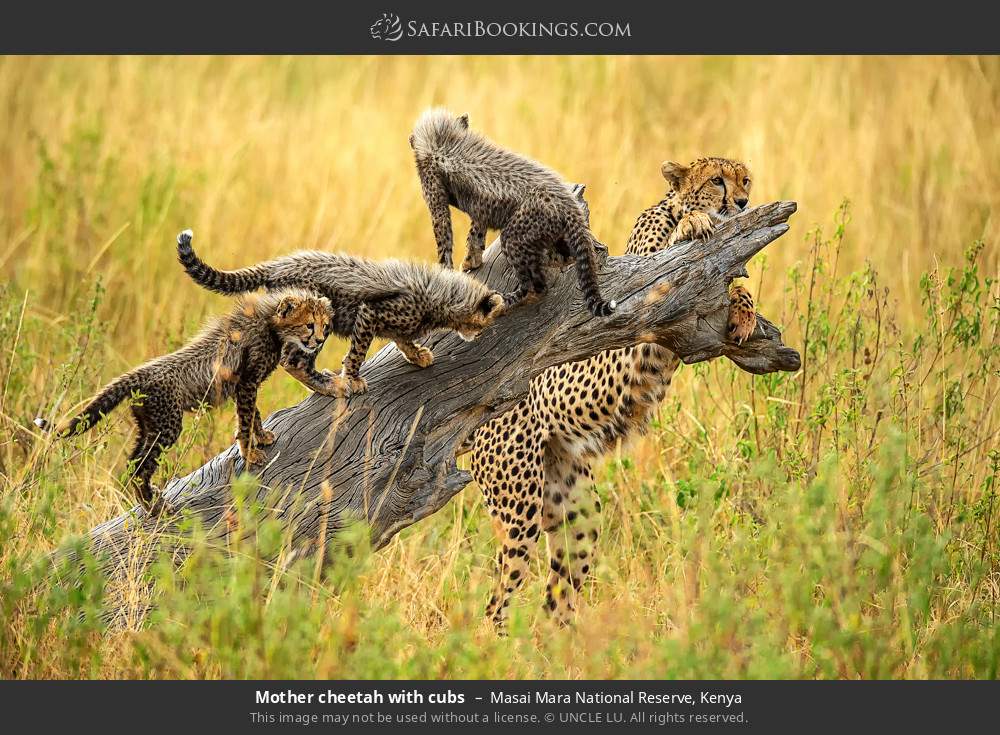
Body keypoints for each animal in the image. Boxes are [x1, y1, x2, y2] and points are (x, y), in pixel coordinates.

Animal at [472, 155, 752, 628]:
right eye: (717, 180)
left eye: (745, 179)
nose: (745, 202)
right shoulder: (638, 297)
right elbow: (671, 257)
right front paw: (694, 223)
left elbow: (736, 284)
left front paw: (745, 313)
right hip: (519, 508)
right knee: (496, 602)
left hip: (577, 509)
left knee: (558, 596)